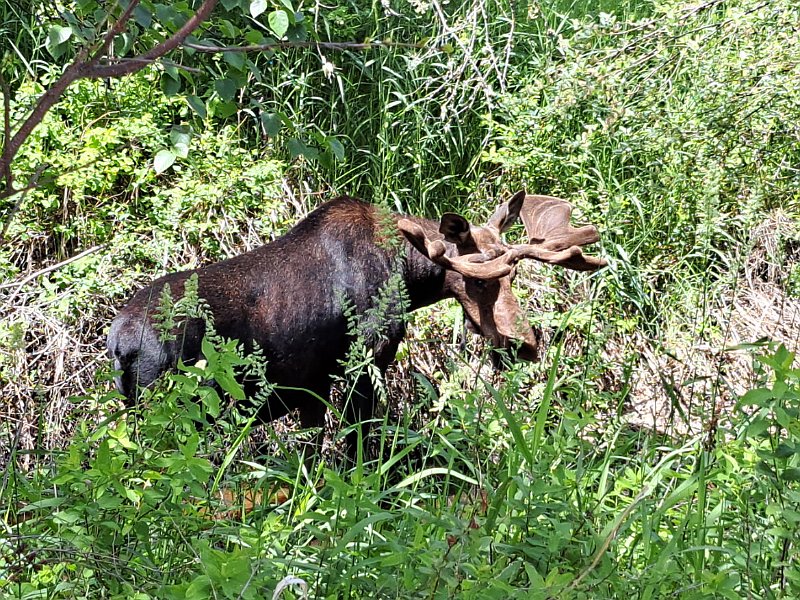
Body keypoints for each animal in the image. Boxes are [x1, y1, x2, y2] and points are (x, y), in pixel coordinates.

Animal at [107, 191, 606, 457]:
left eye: (514, 277)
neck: (410, 274)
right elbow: (359, 449)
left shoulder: (309, 387)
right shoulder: (364, 363)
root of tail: (120, 341)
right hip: (176, 409)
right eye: (480, 280)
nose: (525, 344)